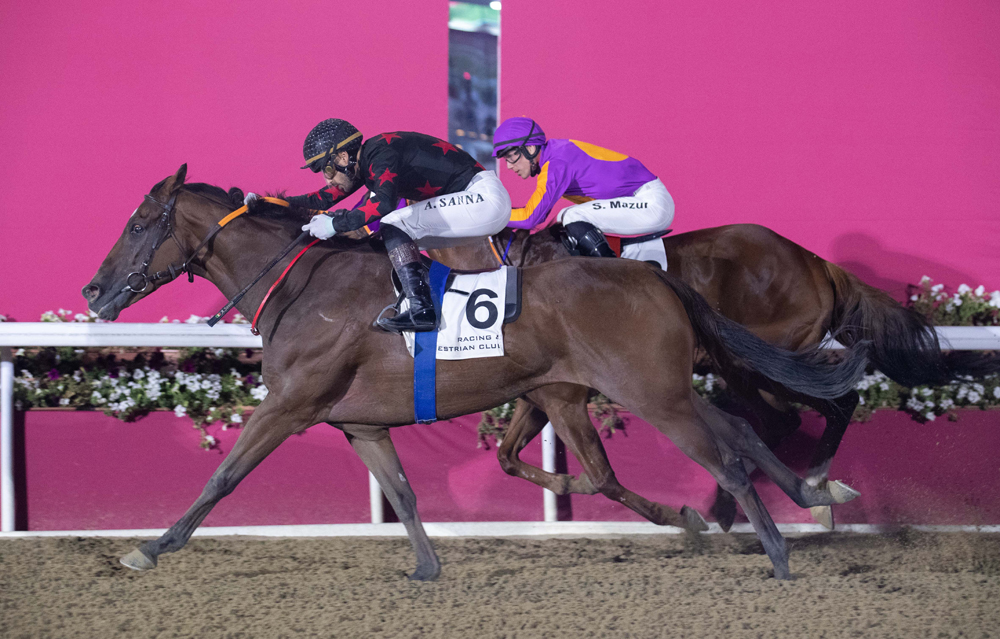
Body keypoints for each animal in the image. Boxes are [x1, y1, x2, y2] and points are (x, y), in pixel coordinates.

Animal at [82, 166, 872, 580]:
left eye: (139, 223)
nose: (93, 290)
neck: (301, 287)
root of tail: (652, 276)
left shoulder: (290, 405)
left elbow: (223, 477)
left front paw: (149, 547)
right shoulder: (361, 424)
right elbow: (404, 493)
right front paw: (427, 568)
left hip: (655, 395)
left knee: (735, 456)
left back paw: (776, 551)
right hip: (664, 387)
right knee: (743, 430)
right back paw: (802, 495)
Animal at [478, 222, 1000, 532]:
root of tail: (816, 263)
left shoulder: (567, 385)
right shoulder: (544, 387)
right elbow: (507, 455)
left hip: (749, 357)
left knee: (815, 410)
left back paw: (792, 494)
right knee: (802, 416)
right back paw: (785, 496)